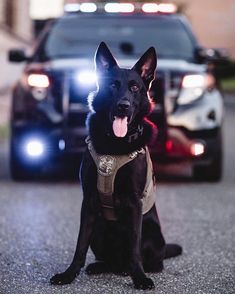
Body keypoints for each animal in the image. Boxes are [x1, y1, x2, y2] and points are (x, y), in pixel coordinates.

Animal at [50, 42, 182, 290]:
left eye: (135, 88)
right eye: (113, 86)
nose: (123, 106)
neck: (114, 143)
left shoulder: (134, 203)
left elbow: (134, 249)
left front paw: (139, 278)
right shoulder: (89, 202)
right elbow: (80, 245)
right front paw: (68, 274)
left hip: (152, 234)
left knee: (150, 260)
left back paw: (130, 270)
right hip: (99, 230)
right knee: (109, 260)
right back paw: (101, 267)